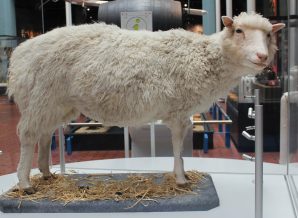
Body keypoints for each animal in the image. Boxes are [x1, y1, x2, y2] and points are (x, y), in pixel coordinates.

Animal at [8, 11, 286, 193]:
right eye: (239, 31)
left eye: (269, 35)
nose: (262, 57)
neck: (205, 57)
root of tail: (20, 53)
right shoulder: (178, 111)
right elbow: (177, 147)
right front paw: (181, 179)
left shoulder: (182, 112)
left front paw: (181, 175)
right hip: (40, 98)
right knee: (28, 135)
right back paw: (25, 183)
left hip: (56, 103)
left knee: (44, 134)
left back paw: (45, 174)